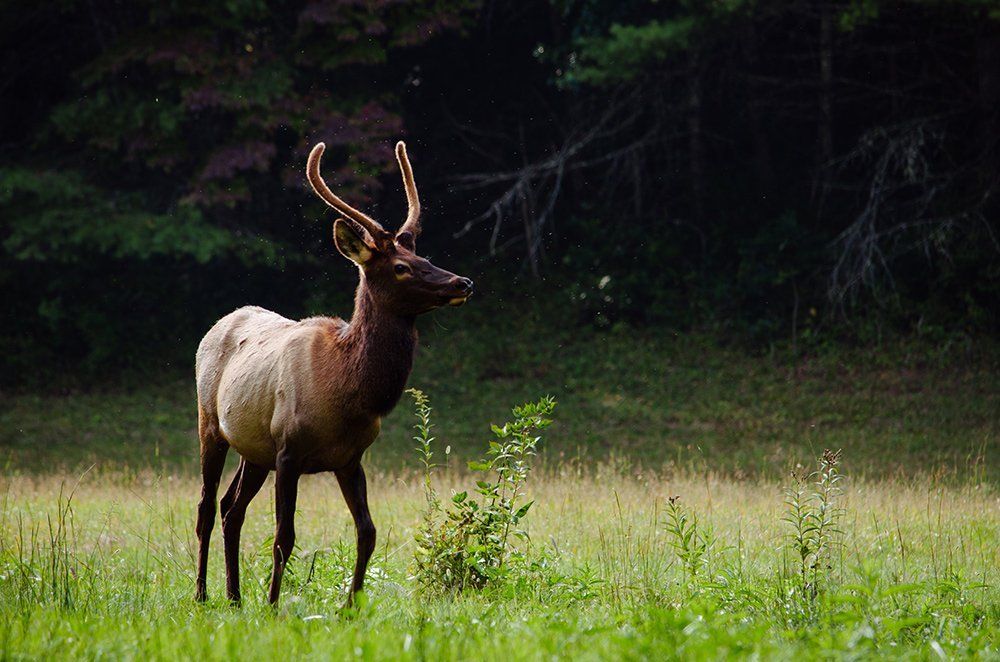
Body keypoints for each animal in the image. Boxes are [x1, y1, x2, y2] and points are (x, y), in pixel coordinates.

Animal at [193, 140, 473, 606]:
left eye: (423, 256)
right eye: (400, 267)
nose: (462, 282)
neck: (347, 392)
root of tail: (218, 324)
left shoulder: (350, 458)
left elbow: (368, 533)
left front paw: (352, 605)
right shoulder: (288, 450)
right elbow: (283, 537)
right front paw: (273, 605)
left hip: (254, 449)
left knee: (233, 509)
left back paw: (234, 597)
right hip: (210, 424)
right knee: (206, 508)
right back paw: (201, 594)